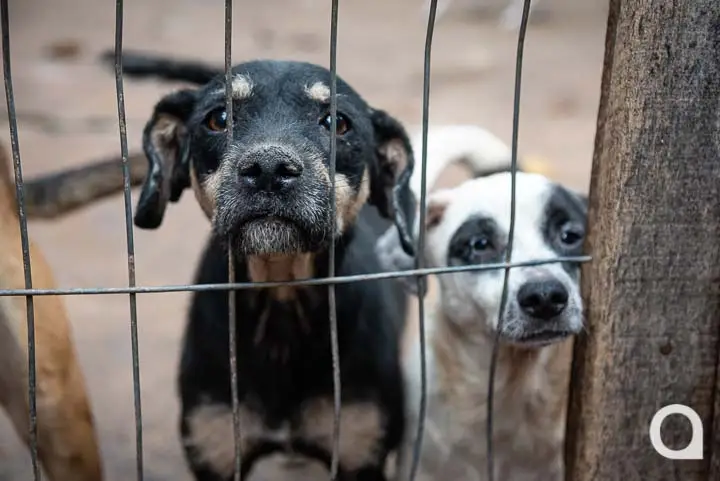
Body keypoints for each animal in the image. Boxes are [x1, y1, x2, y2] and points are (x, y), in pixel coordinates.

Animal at [107, 50, 420, 481]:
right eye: (219, 118)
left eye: (338, 122)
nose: (269, 168)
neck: (281, 300)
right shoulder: (216, 449)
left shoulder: (361, 454)